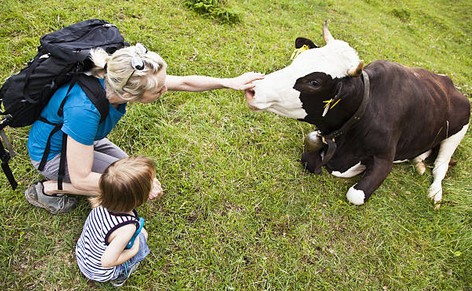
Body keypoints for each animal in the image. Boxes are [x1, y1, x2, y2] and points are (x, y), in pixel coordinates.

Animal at [245, 21, 470, 206]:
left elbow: (355, 194)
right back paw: (420, 162)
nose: (253, 89)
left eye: (315, 82)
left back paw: (435, 193)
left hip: (457, 132)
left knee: (441, 165)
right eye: (300, 58)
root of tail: (449, 82)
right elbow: (309, 159)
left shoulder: (385, 158)